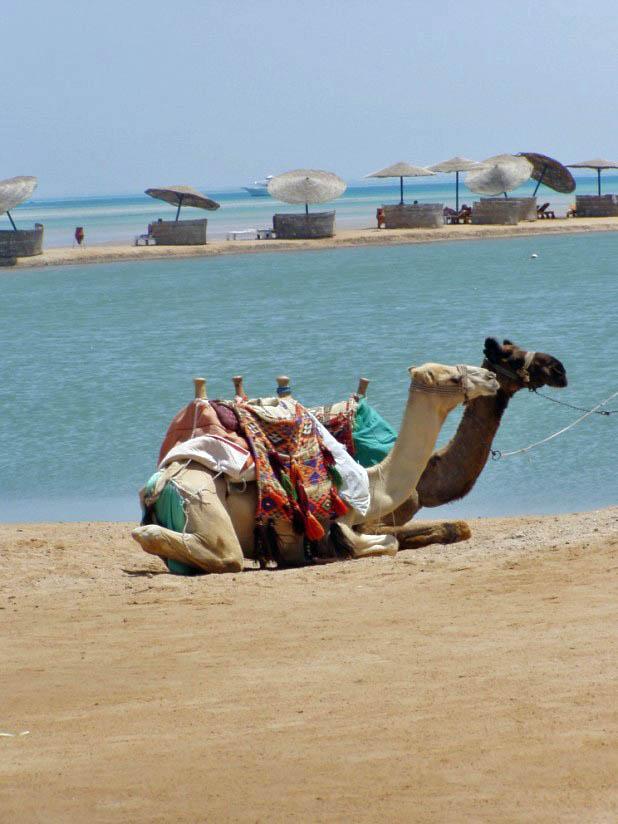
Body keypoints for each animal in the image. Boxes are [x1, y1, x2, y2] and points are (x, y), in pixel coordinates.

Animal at [131, 362, 499, 573]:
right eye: (454, 376)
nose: (493, 377)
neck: (371, 484)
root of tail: (161, 481)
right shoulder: (328, 526)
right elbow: (385, 543)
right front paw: (341, 550)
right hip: (200, 499)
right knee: (226, 556)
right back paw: (145, 534)